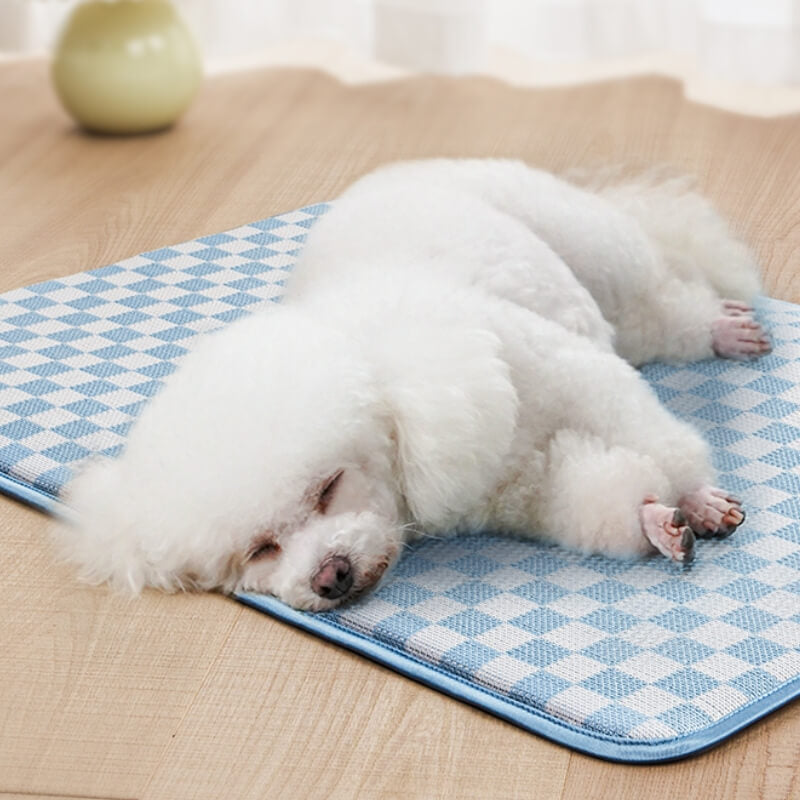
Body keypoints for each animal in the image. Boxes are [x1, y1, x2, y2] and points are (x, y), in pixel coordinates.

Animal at [54, 159, 768, 608]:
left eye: (327, 489)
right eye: (261, 549)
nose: (330, 576)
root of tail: (403, 170)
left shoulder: (571, 376)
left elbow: (656, 437)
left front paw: (698, 499)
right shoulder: (523, 489)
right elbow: (590, 496)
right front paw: (655, 521)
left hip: (587, 240)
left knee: (656, 298)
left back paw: (719, 328)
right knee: (641, 327)